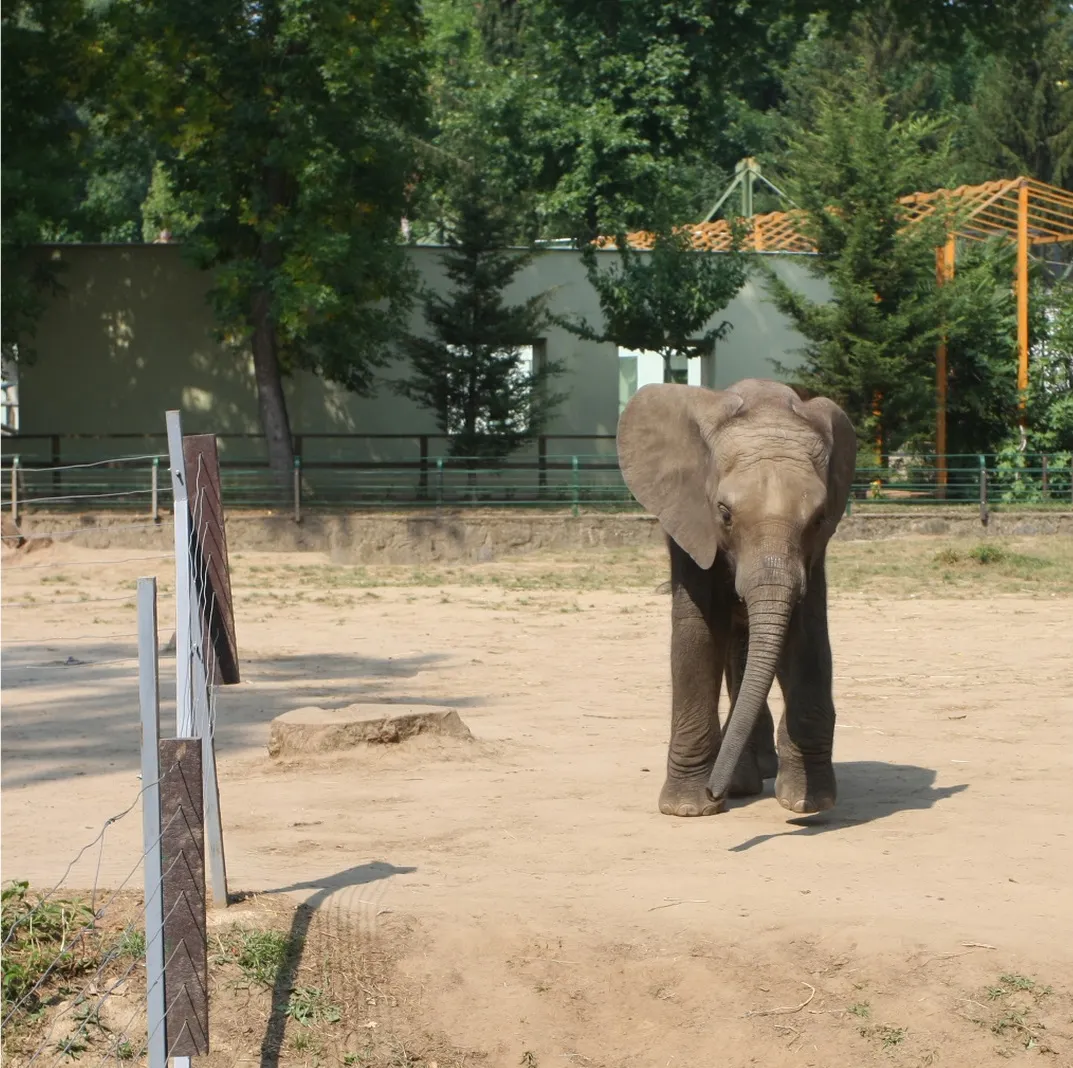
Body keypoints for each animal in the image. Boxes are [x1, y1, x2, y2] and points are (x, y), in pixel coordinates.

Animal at [616, 378, 856, 817]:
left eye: (818, 519)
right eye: (724, 514)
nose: (714, 792)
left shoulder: (814, 553)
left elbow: (808, 634)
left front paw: (806, 802)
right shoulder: (692, 521)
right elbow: (699, 631)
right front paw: (688, 809)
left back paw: (751, 775)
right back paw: (742, 780)